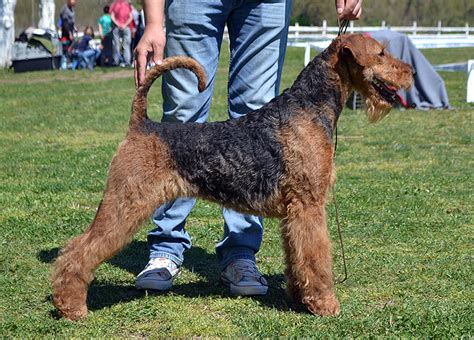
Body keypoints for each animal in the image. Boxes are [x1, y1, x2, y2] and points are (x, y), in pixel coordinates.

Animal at [51, 33, 412, 320]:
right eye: (381, 53)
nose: (409, 73)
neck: (309, 106)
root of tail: (141, 123)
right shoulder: (309, 205)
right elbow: (317, 258)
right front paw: (325, 304)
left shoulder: (294, 212)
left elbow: (298, 258)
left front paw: (299, 297)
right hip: (125, 202)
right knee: (79, 250)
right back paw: (71, 307)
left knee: (76, 246)